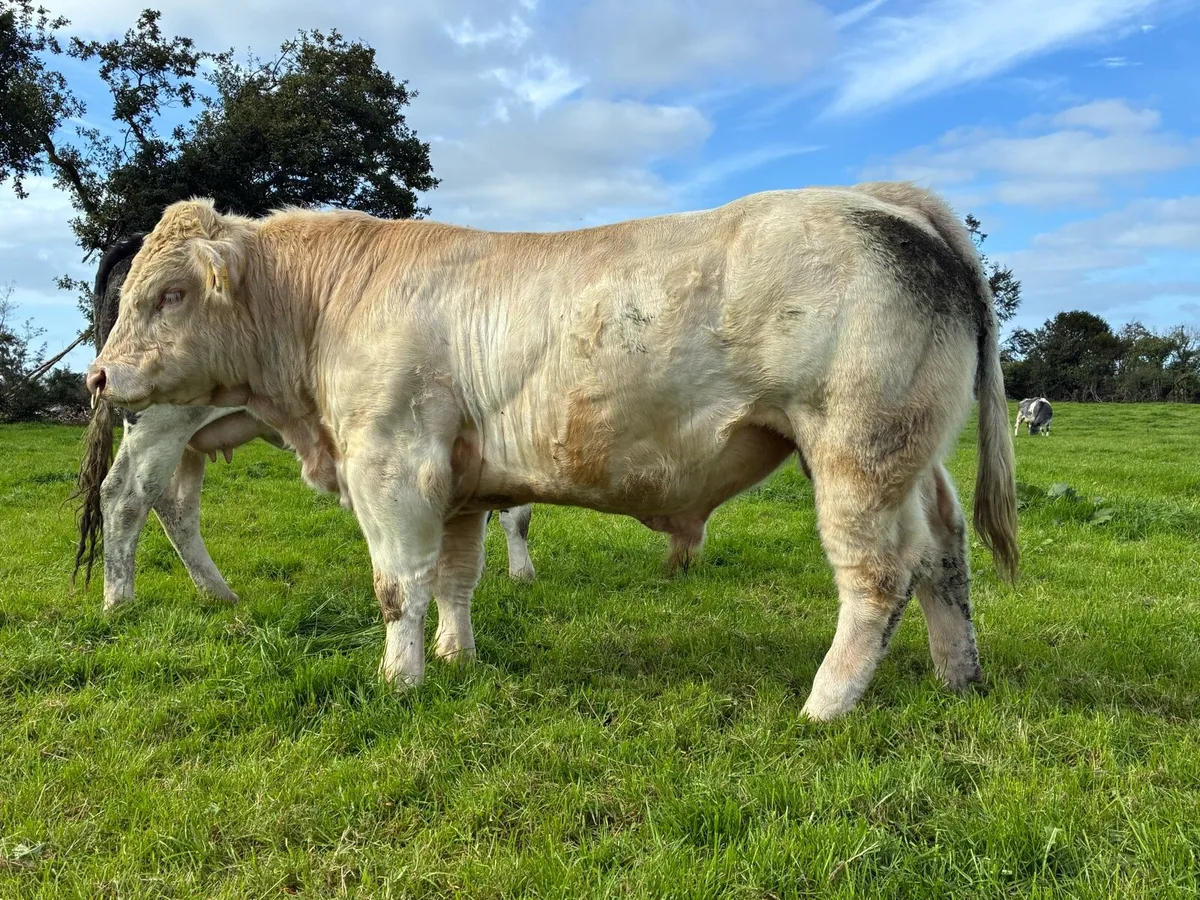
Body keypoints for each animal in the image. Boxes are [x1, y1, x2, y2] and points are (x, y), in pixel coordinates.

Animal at [72, 235, 538, 612]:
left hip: (186, 436)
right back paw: (120, 602)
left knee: (175, 506)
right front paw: (521, 574)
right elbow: (515, 513)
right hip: (156, 422)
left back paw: (218, 592)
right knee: (124, 497)